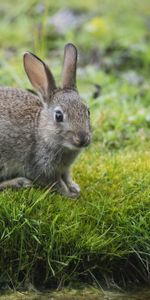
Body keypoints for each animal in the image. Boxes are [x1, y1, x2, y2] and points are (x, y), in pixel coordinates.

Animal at [0, 42, 91, 197]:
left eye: (87, 111)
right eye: (58, 116)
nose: (82, 139)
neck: (41, 131)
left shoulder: (64, 169)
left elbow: (67, 177)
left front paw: (74, 187)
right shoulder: (41, 167)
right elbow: (56, 183)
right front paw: (69, 194)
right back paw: (19, 182)